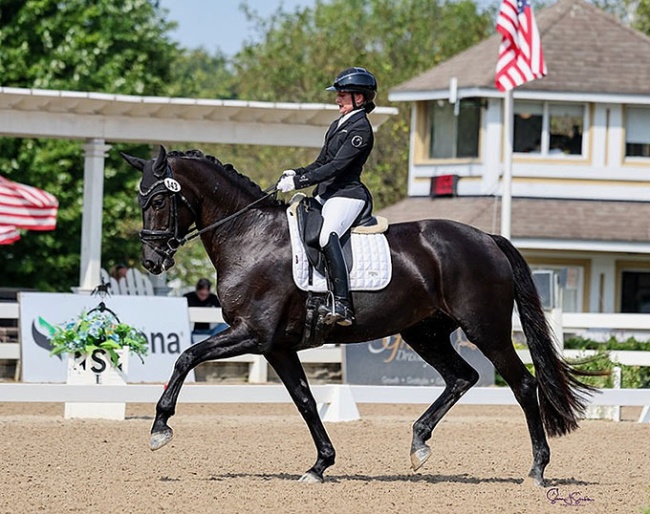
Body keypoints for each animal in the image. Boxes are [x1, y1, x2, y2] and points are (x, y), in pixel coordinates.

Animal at [121, 145, 594, 486]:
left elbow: (186, 357)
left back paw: (536, 470)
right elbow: (306, 401)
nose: (151, 261)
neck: (250, 236)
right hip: (425, 332)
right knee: (462, 377)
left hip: (486, 330)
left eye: (159, 199)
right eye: (141, 199)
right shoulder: (277, 347)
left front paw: (159, 428)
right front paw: (319, 465)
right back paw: (419, 444)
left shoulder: (252, 334)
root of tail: (488, 238)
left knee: (523, 384)